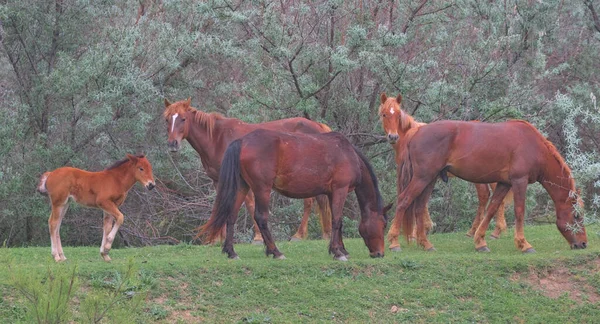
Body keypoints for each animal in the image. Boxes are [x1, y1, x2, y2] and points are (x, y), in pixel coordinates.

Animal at [164, 98, 332, 243]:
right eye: (167, 120)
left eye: (183, 119)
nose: (172, 144)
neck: (218, 139)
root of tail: (318, 127)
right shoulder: (218, 180)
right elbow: (221, 204)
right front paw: (218, 238)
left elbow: (250, 205)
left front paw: (257, 238)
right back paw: (325, 234)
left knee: (309, 202)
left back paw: (300, 235)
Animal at [199, 129, 392, 260]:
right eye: (383, 224)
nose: (379, 253)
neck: (348, 154)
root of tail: (242, 141)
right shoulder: (340, 190)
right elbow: (337, 221)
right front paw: (337, 252)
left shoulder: (332, 193)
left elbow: (337, 222)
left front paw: (340, 249)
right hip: (262, 189)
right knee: (261, 217)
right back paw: (275, 251)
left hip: (242, 186)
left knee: (231, 216)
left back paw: (231, 252)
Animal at [378, 93, 512, 251]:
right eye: (384, 114)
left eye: (398, 115)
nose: (393, 136)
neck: (409, 134)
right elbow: (422, 204)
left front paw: (419, 231)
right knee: (487, 196)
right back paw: (476, 231)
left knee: (490, 197)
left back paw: (494, 231)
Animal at [394, 119, 584, 253]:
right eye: (576, 216)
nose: (583, 243)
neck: (534, 146)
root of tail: (417, 131)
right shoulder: (519, 181)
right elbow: (519, 212)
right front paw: (523, 244)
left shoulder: (504, 183)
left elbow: (492, 209)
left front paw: (480, 242)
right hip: (422, 178)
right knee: (403, 201)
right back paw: (394, 242)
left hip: (429, 179)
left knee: (419, 207)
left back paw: (425, 244)